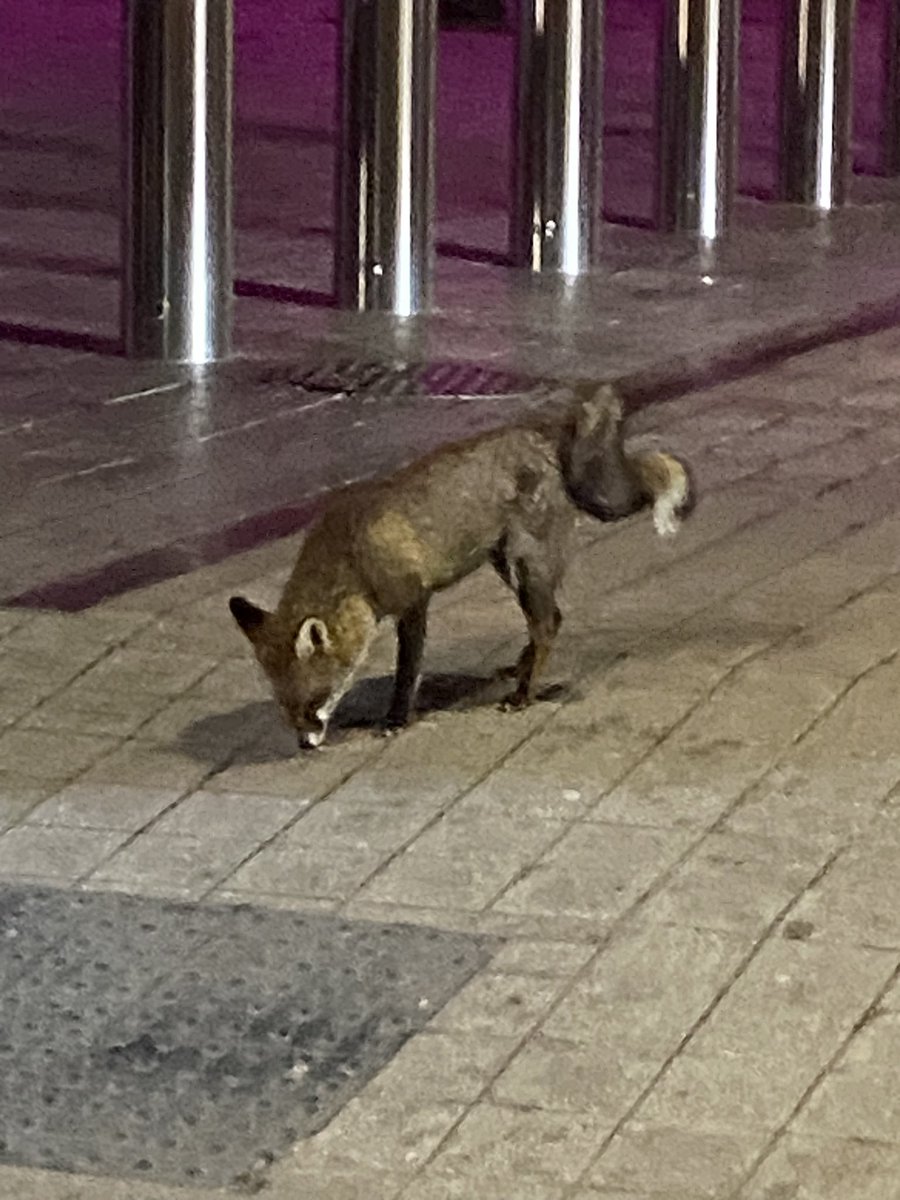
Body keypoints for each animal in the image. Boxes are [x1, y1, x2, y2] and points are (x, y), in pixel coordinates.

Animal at [229, 383, 694, 749]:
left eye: (314, 701)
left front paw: (396, 719)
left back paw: (523, 695)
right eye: (285, 708)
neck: (354, 559)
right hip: (505, 566)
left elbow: (407, 671)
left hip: (525, 566)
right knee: (551, 620)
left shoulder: (414, 601)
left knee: (548, 624)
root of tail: (543, 439)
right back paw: (519, 668)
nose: (305, 746)